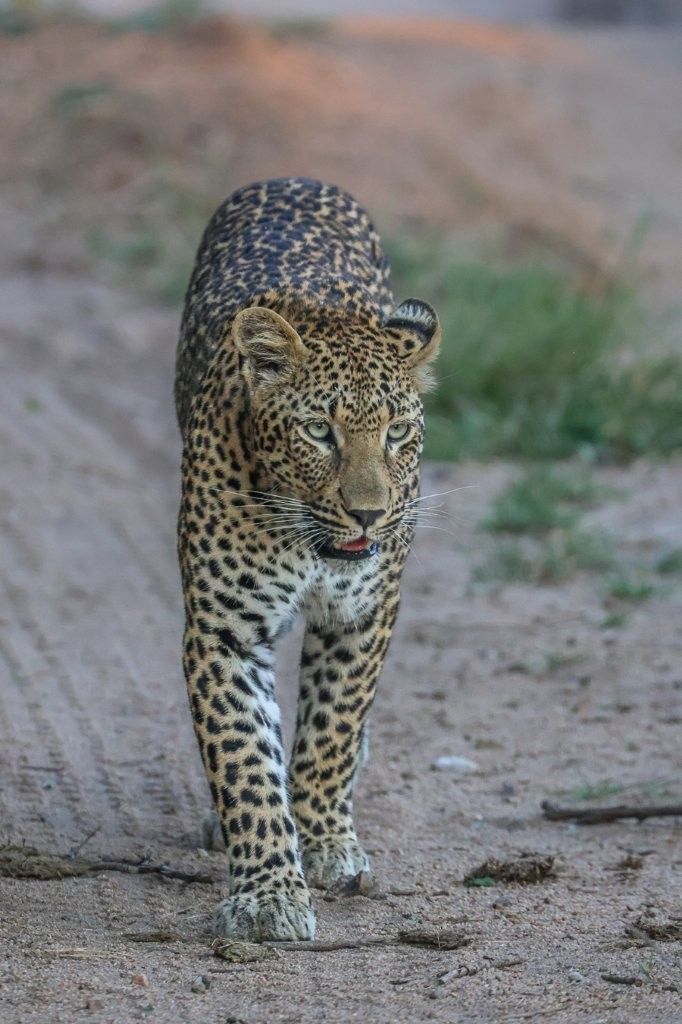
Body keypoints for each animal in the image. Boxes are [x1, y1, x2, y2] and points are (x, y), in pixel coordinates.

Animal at [175, 176, 441, 943]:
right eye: (320, 432)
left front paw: (323, 841)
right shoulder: (224, 632)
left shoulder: (363, 615)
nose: (370, 513)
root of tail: (292, 179)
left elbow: (333, 728)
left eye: (398, 433)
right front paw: (267, 893)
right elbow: (242, 758)